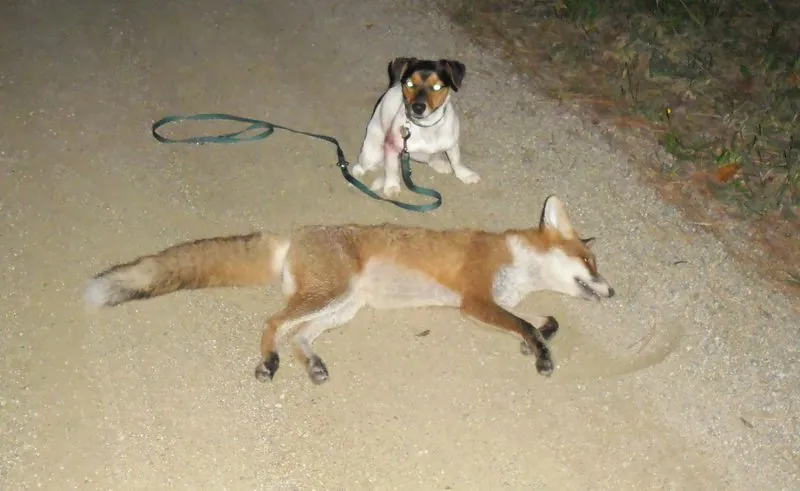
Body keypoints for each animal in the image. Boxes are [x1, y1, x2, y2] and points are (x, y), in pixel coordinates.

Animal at [85, 195, 615, 385]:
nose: (612, 292)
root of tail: (293, 234)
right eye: (590, 263)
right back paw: (268, 362)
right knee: (273, 322)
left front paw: (533, 345)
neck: (517, 264)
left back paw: (312, 364)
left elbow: (543, 321)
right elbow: (530, 325)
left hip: (343, 306)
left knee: (299, 334)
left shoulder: (494, 304)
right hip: (331, 295)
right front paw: (541, 355)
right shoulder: (476, 301)